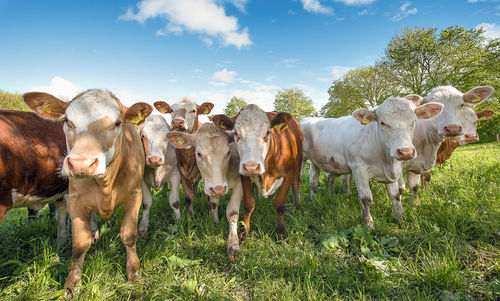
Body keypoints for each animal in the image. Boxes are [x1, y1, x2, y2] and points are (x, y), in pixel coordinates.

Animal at [23, 87, 152, 292]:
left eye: (117, 123)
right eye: (67, 121)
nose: (81, 163)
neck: (106, 183)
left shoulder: (135, 195)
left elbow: (128, 235)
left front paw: (134, 271)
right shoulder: (75, 200)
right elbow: (79, 244)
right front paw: (71, 285)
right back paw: (95, 232)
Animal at [167, 123, 243, 258]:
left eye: (228, 152)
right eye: (199, 154)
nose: (219, 189)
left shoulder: (239, 185)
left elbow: (232, 213)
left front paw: (233, 244)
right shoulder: (210, 186)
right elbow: (213, 204)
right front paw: (215, 221)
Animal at [210, 104, 300, 238]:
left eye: (267, 132)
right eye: (236, 133)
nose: (251, 167)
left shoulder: (288, 175)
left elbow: (280, 204)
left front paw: (280, 231)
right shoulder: (244, 176)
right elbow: (249, 204)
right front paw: (244, 232)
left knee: (296, 186)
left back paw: (298, 206)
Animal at [302, 96, 444, 227]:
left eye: (414, 122)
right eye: (383, 123)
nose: (406, 151)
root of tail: (309, 118)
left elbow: (395, 195)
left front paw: (400, 218)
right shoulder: (358, 169)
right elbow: (366, 198)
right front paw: (368, 223)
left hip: (319, 162)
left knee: (321, 179)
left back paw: (328, 198)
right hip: (303, 158)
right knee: (309, 180)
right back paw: (311, 201)